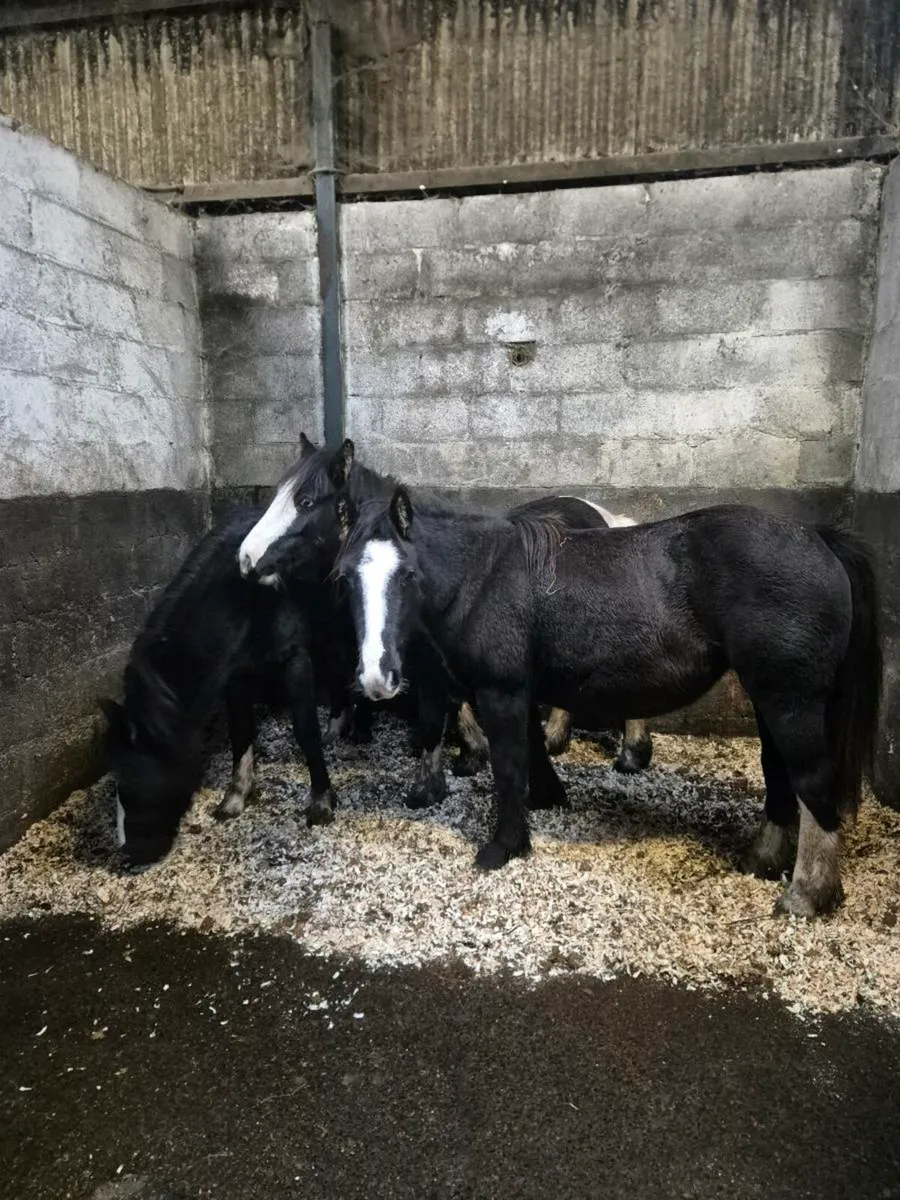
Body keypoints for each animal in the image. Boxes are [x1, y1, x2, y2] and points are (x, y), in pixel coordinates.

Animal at [101, 437, 361, 866]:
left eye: (133, 770)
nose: (131, 852)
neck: (246, 599)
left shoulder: (295, 659)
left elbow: (304, 729)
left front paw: (322, 800)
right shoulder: (235, 675)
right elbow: (242, 732)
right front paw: (236, 798)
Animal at [334, 485, 881, 918]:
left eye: (407, 575)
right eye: (344, 578)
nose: (375, 677)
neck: (485, 577)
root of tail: (818, 539)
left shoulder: (500, 692)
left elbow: (508, 765)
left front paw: (504, 846)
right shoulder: (517, 690)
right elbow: (530, 750)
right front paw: (546, 798)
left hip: (790, 700)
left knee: (811, 782)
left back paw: (807, 895)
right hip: (772, 700)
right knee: (779, 773)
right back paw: (762, 861)